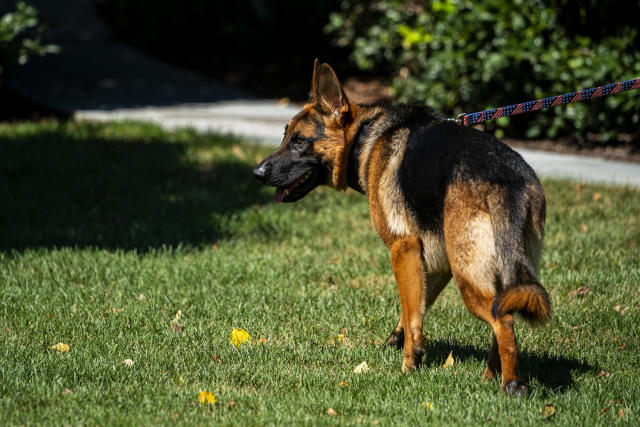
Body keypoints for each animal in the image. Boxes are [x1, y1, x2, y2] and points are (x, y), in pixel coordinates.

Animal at [254, 58, 552, 396]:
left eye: (299, 142)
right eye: (285, 137)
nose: (256, 173)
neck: (365, 138)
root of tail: (510, 182)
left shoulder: (403, 248)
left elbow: (411, 314)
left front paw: (409, 364)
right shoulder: (436, 262)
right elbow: (417, 309)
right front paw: (399, 343)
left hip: (468, 276)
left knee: (502, 321)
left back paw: (511, 383)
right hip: (496, 271)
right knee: (502, 313)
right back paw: (490, 377)